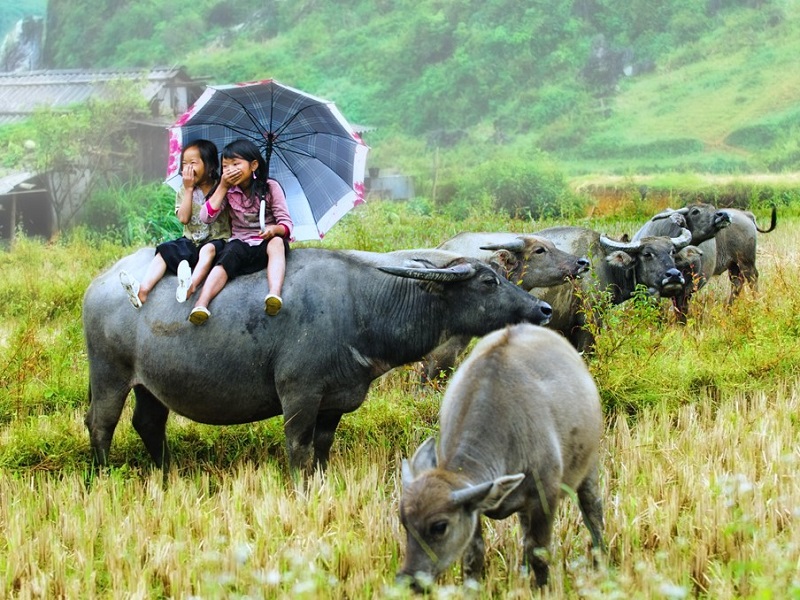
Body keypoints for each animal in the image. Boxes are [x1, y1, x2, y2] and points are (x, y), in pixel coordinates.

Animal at [84, 247, 552, 474]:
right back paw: (104, 475)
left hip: (150, 385)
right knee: (101, 424)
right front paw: (298, 485)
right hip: (110, 376)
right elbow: (298, 447)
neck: (362, 307)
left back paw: (164, 472)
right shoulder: (300, 395)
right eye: (488, 282)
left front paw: (321, 480)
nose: (543, 310)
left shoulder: (335, 401)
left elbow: (322, 447)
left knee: (148, 423)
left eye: (504, 276)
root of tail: (98, 283)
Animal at [396, 324, 604, 592]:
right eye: (404, 522)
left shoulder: (544, 498)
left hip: (589, 468)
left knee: (593, 513)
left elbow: (539, 553)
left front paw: (541, 588)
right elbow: (473, 556)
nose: (409, 580)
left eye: (439, 526)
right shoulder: (474, 508)